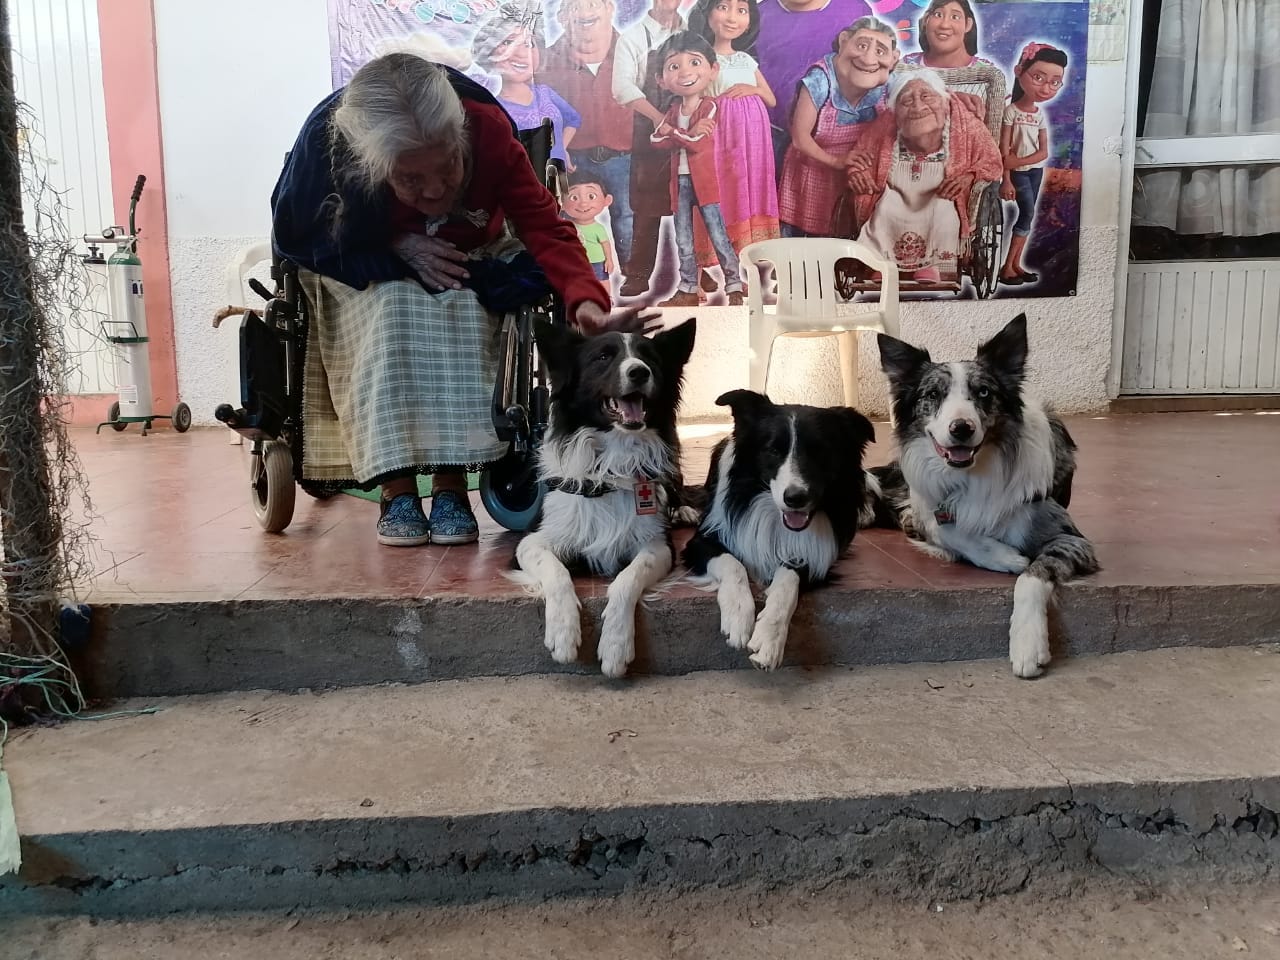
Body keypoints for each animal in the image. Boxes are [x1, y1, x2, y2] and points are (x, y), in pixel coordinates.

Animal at [512, 320, 701, 680]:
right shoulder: (531, 541)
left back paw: (684, 509)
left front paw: (616, 645)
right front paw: (563, 633)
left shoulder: (658, 545)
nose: (639, 372)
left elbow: (628, 579)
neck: (611, 465)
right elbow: (556, 571)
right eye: (602, 357)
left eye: (650, 358)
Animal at [680, 389, 880, 670]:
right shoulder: (701, 541)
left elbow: (788, 580)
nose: (795, 498)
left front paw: (769, 638)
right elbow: (732, 563)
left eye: (820, 451)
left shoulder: (818, 554)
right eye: (773, 450)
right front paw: (739, 616)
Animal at [870, 313, 1100, 675]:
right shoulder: (932, 511)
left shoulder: (1072, 539)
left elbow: (1032, 574)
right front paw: (1004, 556)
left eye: (983, 391)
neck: (972, 476)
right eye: (933, 394)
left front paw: (1027, 644)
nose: (961, 428)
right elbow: (951, 530)